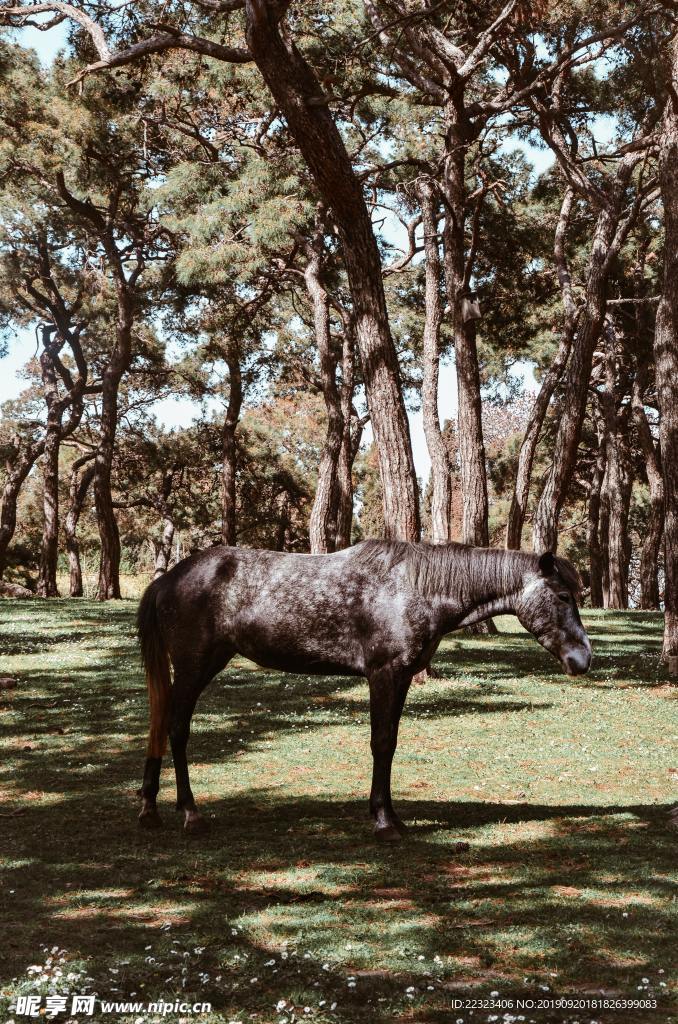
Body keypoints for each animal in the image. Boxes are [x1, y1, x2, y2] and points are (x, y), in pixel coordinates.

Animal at [135, 540, 594, 843]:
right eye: (562, 595)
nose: (583, 659)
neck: (414, 587)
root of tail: (168, 579)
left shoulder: (403, 677)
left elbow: (389, 743)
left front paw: (386, 813)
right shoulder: (383, 675)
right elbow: (382, 743)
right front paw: (385, 820)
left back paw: (151, 807)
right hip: (195, 668)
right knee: (176, 729)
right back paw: (190, 813)